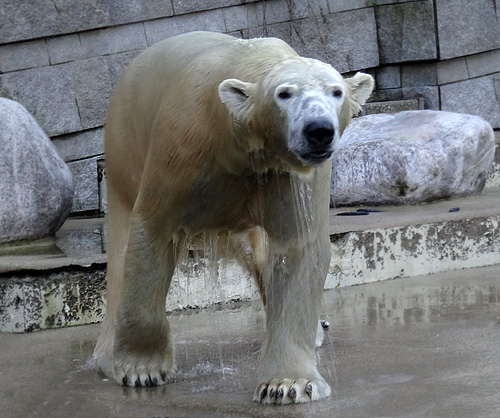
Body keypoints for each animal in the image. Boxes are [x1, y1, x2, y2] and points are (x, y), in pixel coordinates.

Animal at [93, 31, 376, 404]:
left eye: (336, 91)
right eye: (284, 93)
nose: (319, 130)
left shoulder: (283, 174)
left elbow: (297, 249)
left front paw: (289, 384)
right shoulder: (181, 148)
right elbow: (154, 231)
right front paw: (142, 369)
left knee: (257, 253)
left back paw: (316, 329)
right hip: (125, 142)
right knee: (122, 240)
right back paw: (106, 356)